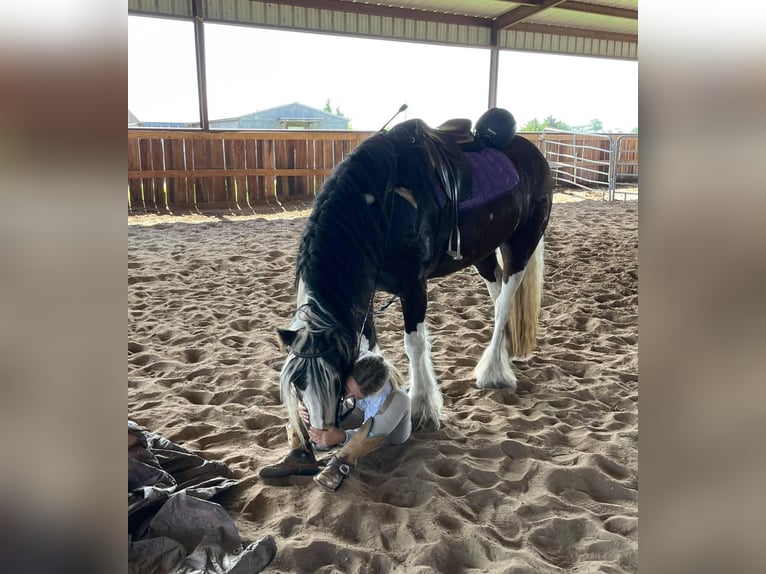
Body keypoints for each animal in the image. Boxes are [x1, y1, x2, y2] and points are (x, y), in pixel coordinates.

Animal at [280, 108, 556, 436]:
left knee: (504, 306)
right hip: (484, 254)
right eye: (299, 384)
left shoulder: (413, 287)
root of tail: (533, 154)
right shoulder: (367, 290)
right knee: (499, 294)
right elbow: (369, 343)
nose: (322, 435)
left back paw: (492, 371)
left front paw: (421, 406)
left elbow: (414, 345)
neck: (381, 205)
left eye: (335, 375)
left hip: (521, 246)